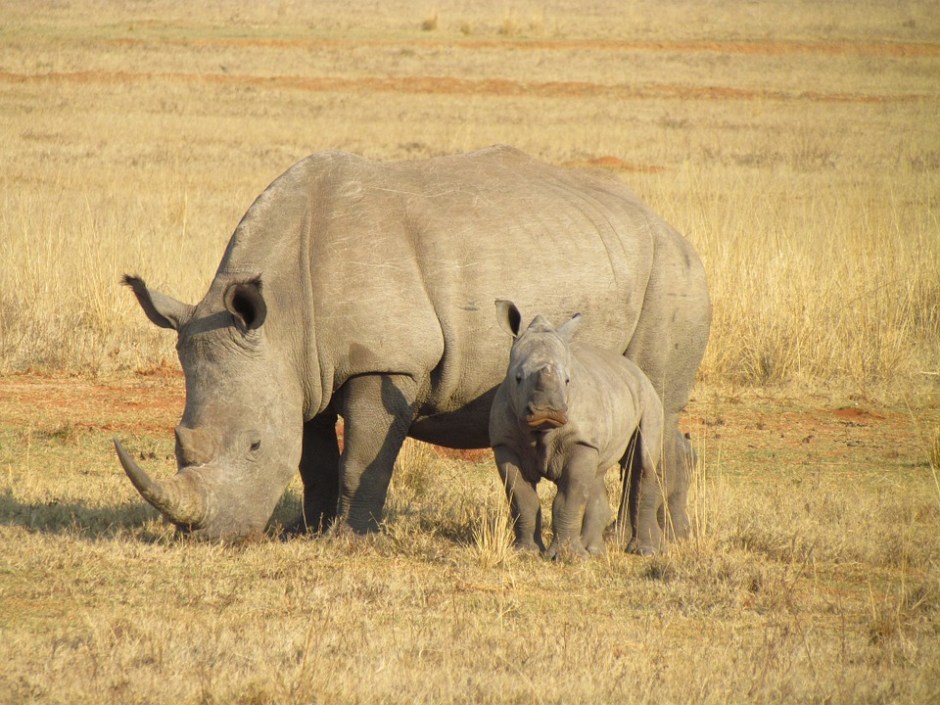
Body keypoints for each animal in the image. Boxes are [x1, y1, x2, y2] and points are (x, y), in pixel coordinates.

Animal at [489, 301, 668, 557]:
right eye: (518, 378)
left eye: (567, 381)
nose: (547, 410)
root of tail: (635, 369)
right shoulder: (505, 443)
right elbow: (522, 499)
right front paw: (525, 552)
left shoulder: (580, 440)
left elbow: (569, 498)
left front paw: (567, 556)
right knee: (596, 476)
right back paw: (594, 551)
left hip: (649, 398)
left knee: (643, 463)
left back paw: (645, 551)